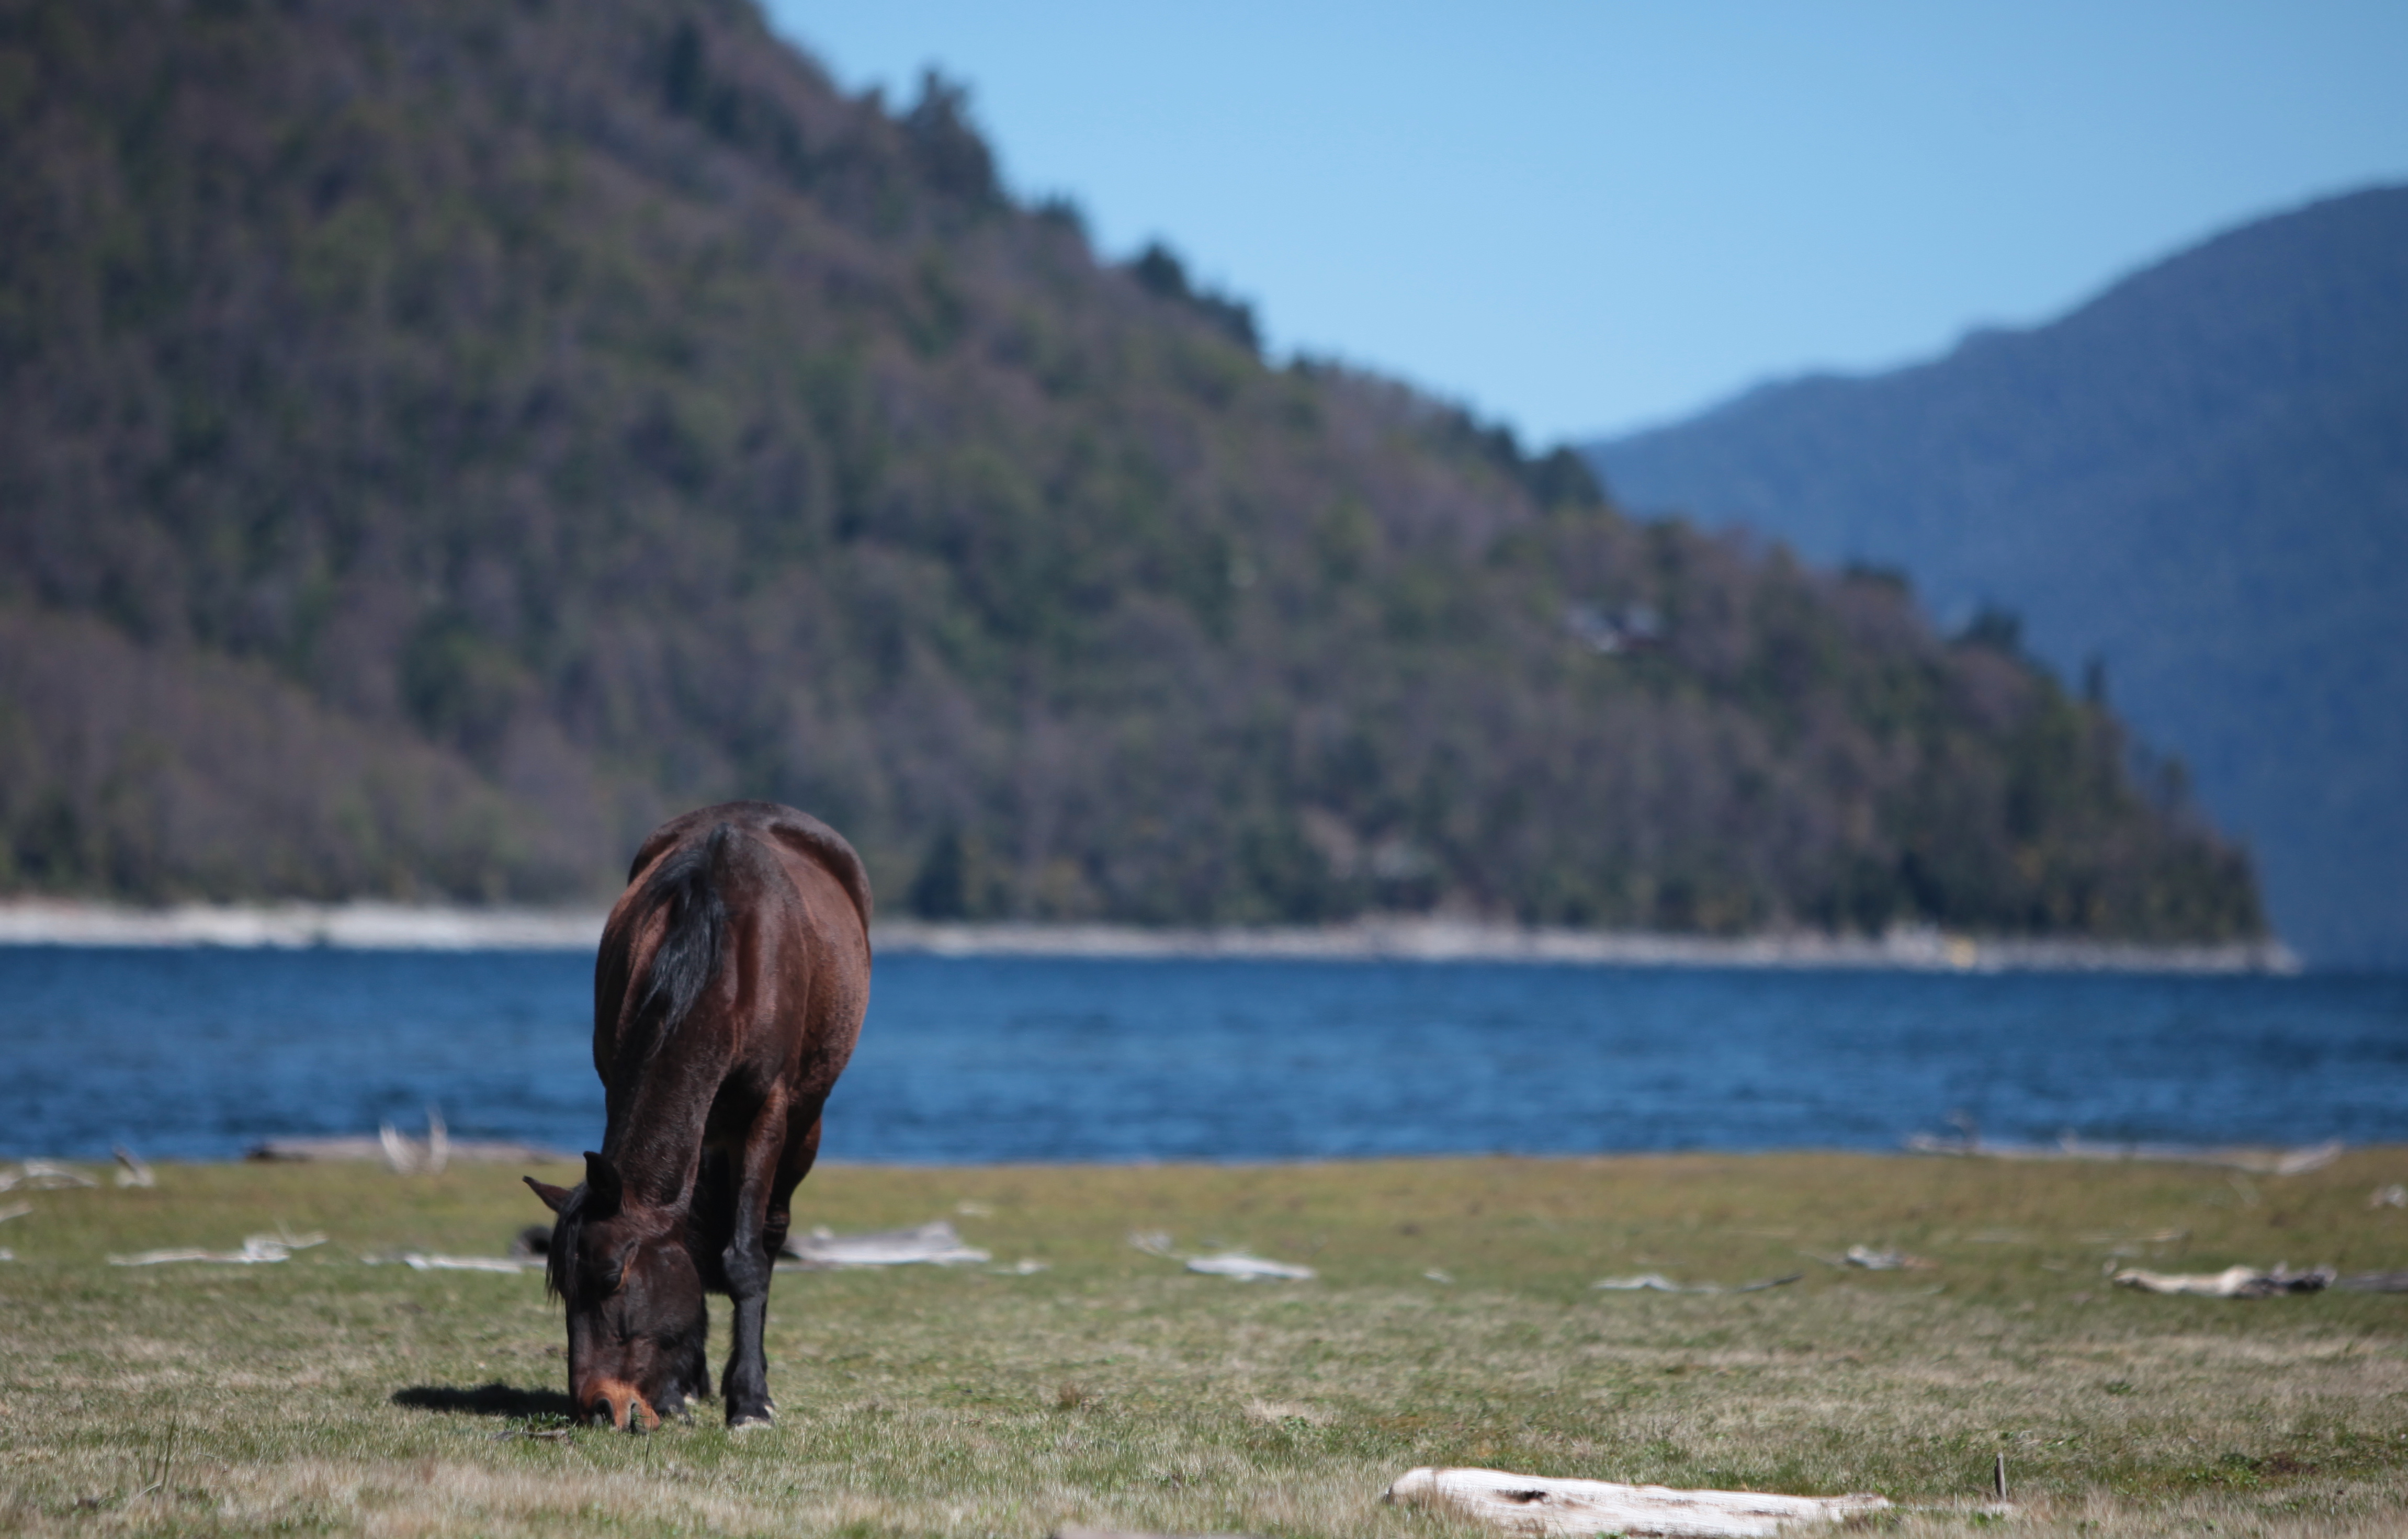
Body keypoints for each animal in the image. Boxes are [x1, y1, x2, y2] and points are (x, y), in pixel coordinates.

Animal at [524, 801, 872, 1431]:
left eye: (612, 1276)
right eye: (563, 1287)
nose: (598, 1405)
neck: (719, 962)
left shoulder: (765, 1113)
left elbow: (745, 1258)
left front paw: (751, 1400)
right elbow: (690, 1241)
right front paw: (679, 1384)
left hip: (801, 1127)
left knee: (769, 1232)